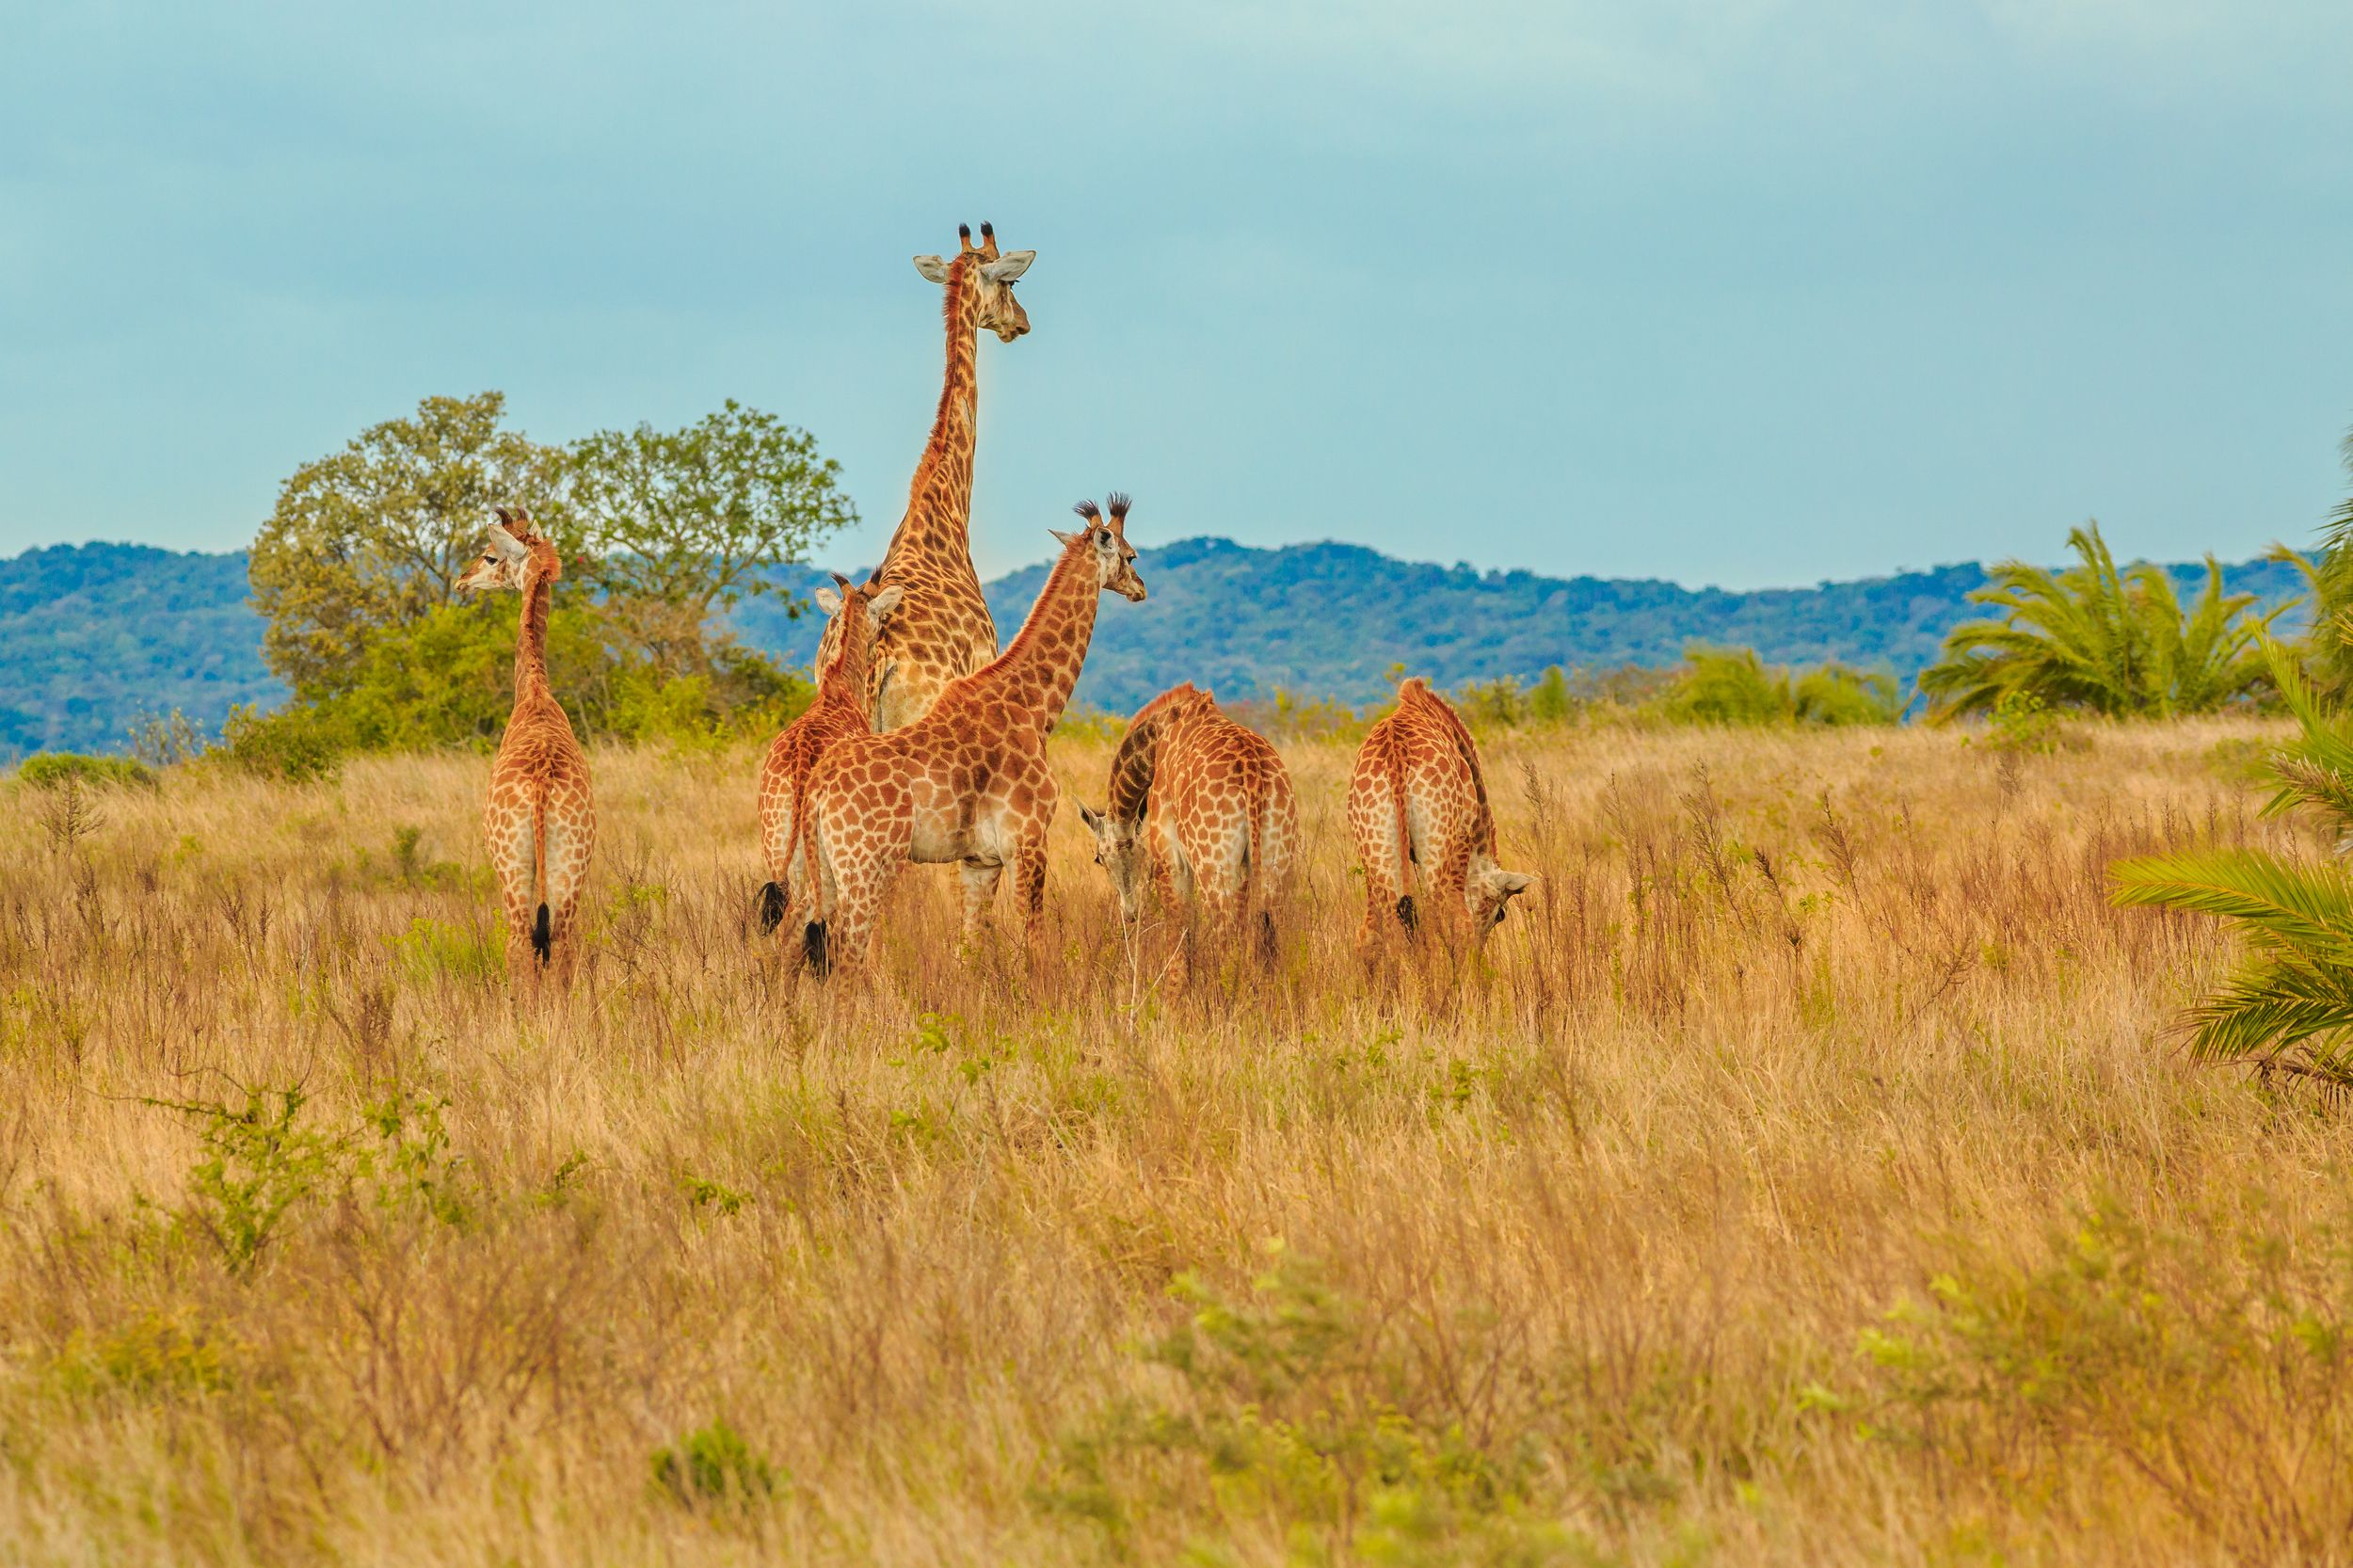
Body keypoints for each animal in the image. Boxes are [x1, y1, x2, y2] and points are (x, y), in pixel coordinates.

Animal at [455, 508, 596, 992]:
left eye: (489, 554)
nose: (461, 581)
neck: (534, 693)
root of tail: (539, 793)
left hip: (511, 867)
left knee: (520, 947)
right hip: (569, 865)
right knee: (563, 947)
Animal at [798, 495, 1147, 979]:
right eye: (1130, 555)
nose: (1141, 589)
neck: (1034, 708)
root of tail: (817, 793)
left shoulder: (978, 860)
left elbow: (969, 950)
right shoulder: (1028, 843)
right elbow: (1034, 946)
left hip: (824, 869)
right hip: (862, 866)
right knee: (846, 956)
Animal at [1078, 683, 1300, 967]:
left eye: (1098, 859)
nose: (1130, 913)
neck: (1155, 740)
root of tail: (1252, 775)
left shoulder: (1169, 859)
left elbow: (1179, 934)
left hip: (1213, 864)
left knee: (1227, 938)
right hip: (1276, 858)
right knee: (1268, 938)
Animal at [1347, 677, 1533, 956]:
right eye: (1500, 914)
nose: (1480, 951)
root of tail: (1395, 757)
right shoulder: (1462, 841)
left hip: (1375, 847)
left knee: (1378, 934)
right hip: (1438, 848)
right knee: (1448, 925)